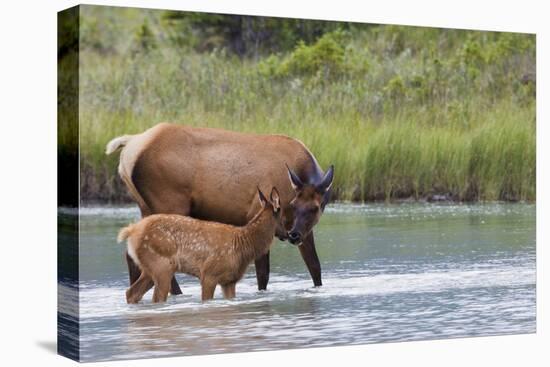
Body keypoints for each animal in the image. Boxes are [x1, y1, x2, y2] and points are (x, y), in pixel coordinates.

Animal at [116, 188, 280, 304]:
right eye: (284, 209)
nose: (288, 233)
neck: (243, 246)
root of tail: (132, 231)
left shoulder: (229, 281)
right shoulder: (209, 273)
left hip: (149, 269)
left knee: (131, 293)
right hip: (161, 266)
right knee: (156, 298)